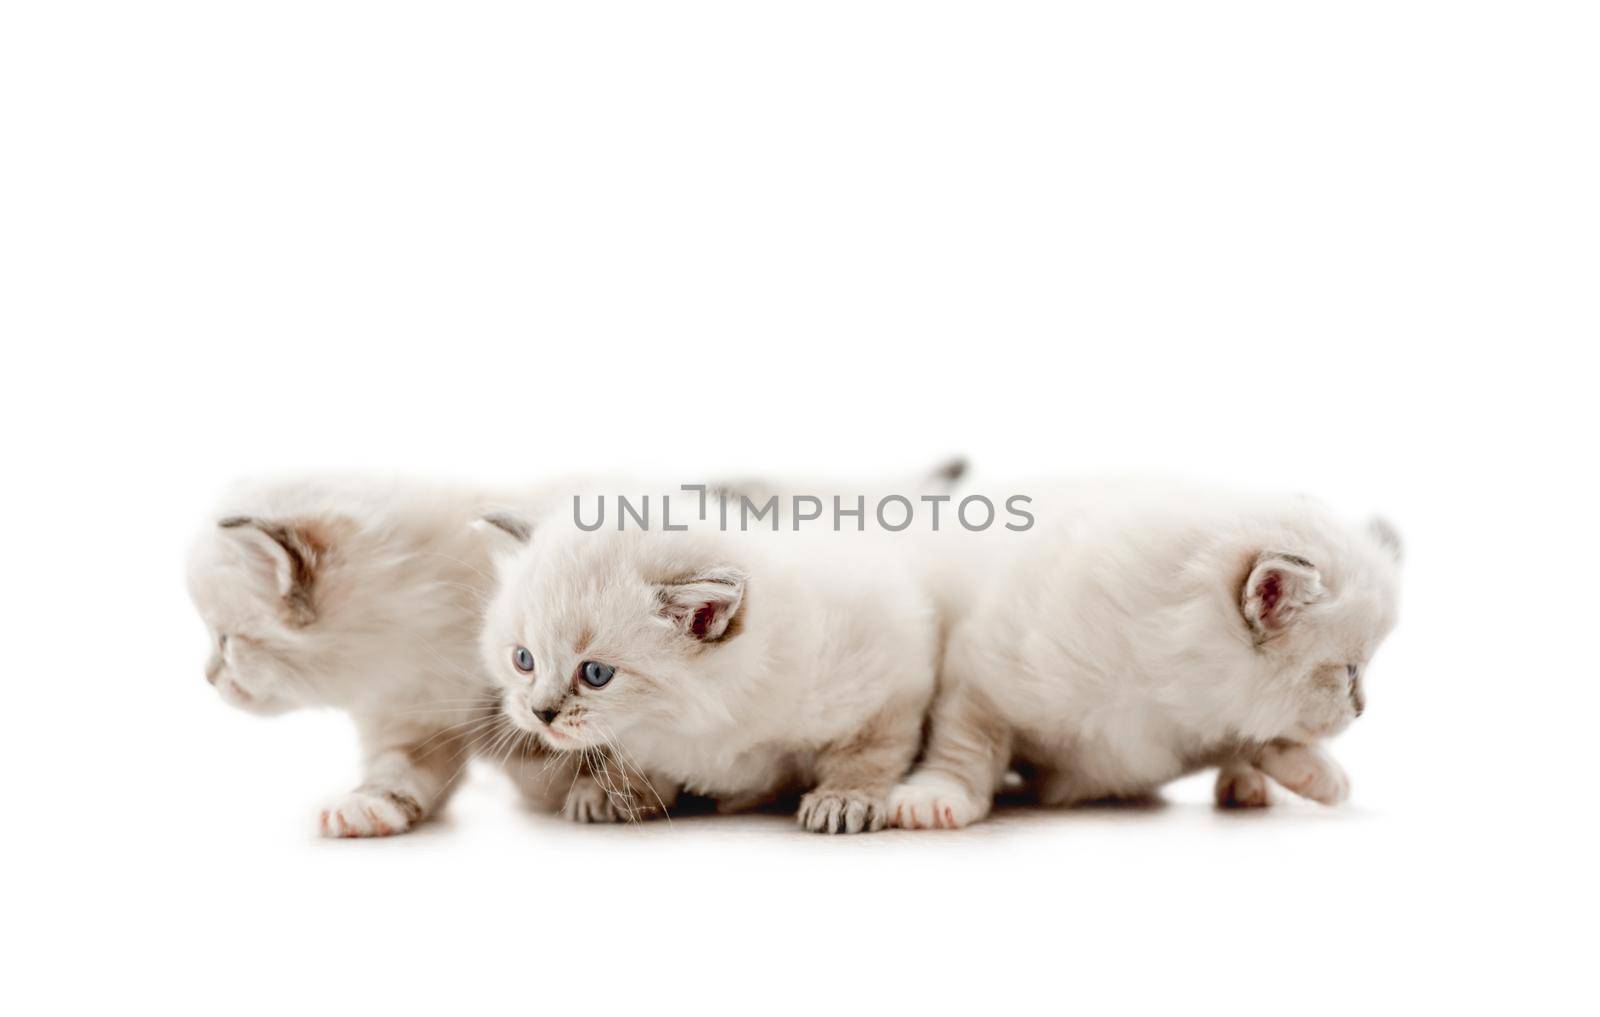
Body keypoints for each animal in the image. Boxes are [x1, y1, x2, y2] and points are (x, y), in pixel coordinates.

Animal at [473, 514, 934, 831]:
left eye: (597, 674)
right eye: (524, 660)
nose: (541, 713)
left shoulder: (889, 678)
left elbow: (867, 753)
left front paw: (842, 798)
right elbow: (639, 758)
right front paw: (612, 790)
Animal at [896, 479, 1408, 831]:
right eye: (1349, 672)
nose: (1361, 711)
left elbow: (1258, 739)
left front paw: (1316, 774)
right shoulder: (979, 676)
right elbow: (966, 746)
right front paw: (936, 797)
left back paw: (1247, 787)